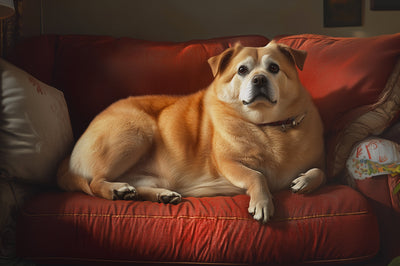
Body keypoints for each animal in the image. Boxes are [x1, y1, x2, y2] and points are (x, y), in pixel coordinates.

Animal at [57, 41, 324, 223]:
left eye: (274, 68)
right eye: (242, 71)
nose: (259, 79)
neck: (266, 126)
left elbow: (320, 171)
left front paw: (305, 181)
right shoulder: (229, 164)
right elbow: (256, 176)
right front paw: (262, 202)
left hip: (150, 172)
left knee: (137, 185)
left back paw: (159, 195)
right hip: (135, 132)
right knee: (94, 182)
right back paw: (115, 189)